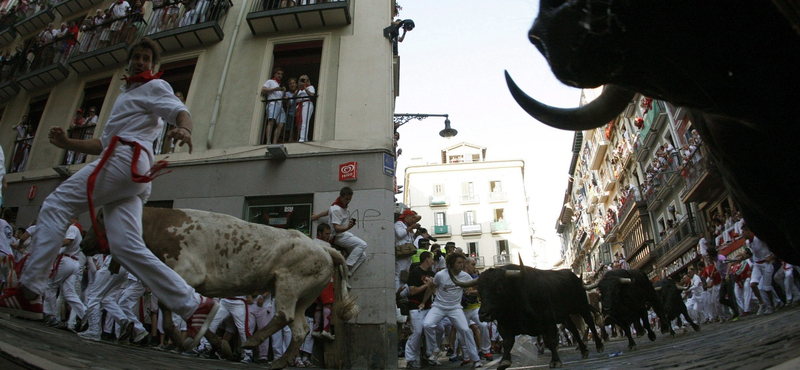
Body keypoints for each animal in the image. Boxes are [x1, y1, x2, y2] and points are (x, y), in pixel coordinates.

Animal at [83, 207, 358, 368]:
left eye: (97, 222)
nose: (84, 244)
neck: (161, 227)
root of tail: (322, 247)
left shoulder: (185, 274)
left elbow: (171, 310)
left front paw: (188, 342)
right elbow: (197, 316)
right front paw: (218, 346)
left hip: (288, 284)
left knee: (284, 316)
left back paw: (253, 342)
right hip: (303, 296)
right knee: (300, 329)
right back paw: (278, 362)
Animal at [454, 264, 604, 368]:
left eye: (499, 288)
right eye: (479, 290)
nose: (483, 314)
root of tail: (575, 277)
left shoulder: (548, 320)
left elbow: (551, 340)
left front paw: (555, 361)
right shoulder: (504, 325)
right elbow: (508, 342)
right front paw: (504, 361)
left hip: (581, 306)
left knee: (590, 323)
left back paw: (598, 345)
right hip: (565, 315)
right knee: (573, 329)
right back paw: (583, 350)